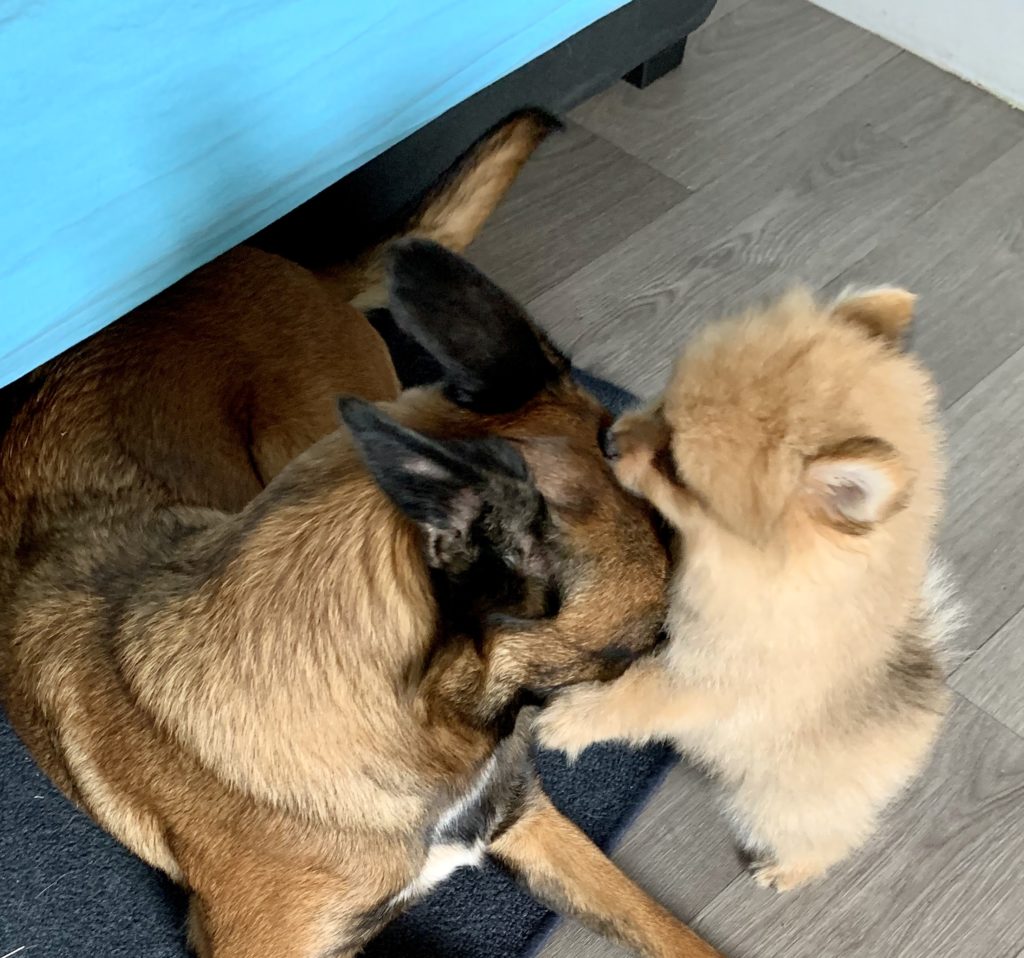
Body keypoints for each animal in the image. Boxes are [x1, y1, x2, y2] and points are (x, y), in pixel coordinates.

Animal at [536, 284, 958, 892]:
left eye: (676, 468)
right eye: (663, 405)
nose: (607, 439)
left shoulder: (701, 679)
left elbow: (633, 696)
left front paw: (568, 720)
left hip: (776, 805)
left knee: (826, 838)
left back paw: (786, 872)